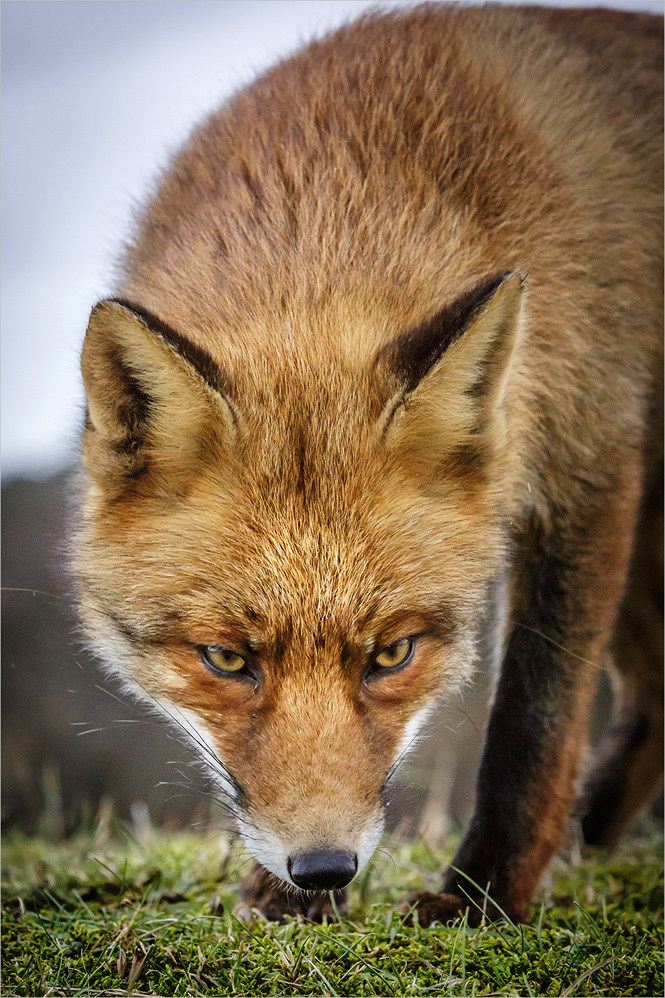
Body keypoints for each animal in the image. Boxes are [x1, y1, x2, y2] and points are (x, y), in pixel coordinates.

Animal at [74, 3, 660, 924]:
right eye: (226, 660)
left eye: (391, 654)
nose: (322, 869)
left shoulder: (591, 460)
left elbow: (531, 721)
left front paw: (482, 898)